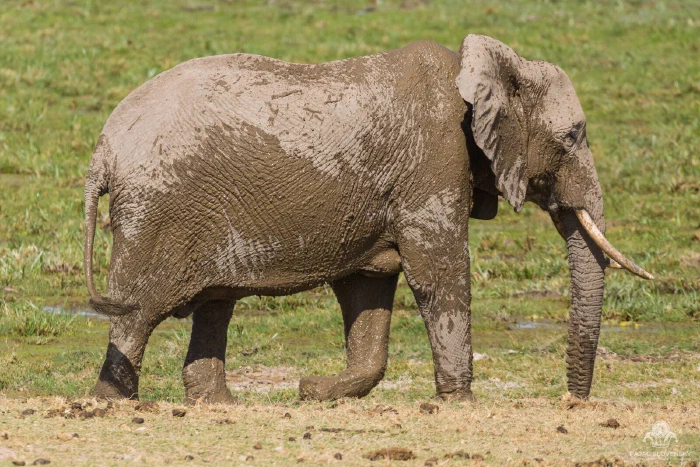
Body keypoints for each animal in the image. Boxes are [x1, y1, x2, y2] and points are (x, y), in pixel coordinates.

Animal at [84, 34, 652, 404]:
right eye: (573, 136)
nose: (573, 402)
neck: (482, 68)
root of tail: (104, 146)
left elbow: (370, 285)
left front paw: (319, 391)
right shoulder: (433, 161)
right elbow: (436, 273)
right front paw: (457, 402)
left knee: (214, 303)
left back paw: (218, 405)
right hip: (159, 211)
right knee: (138, 312)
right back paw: (115, 402)